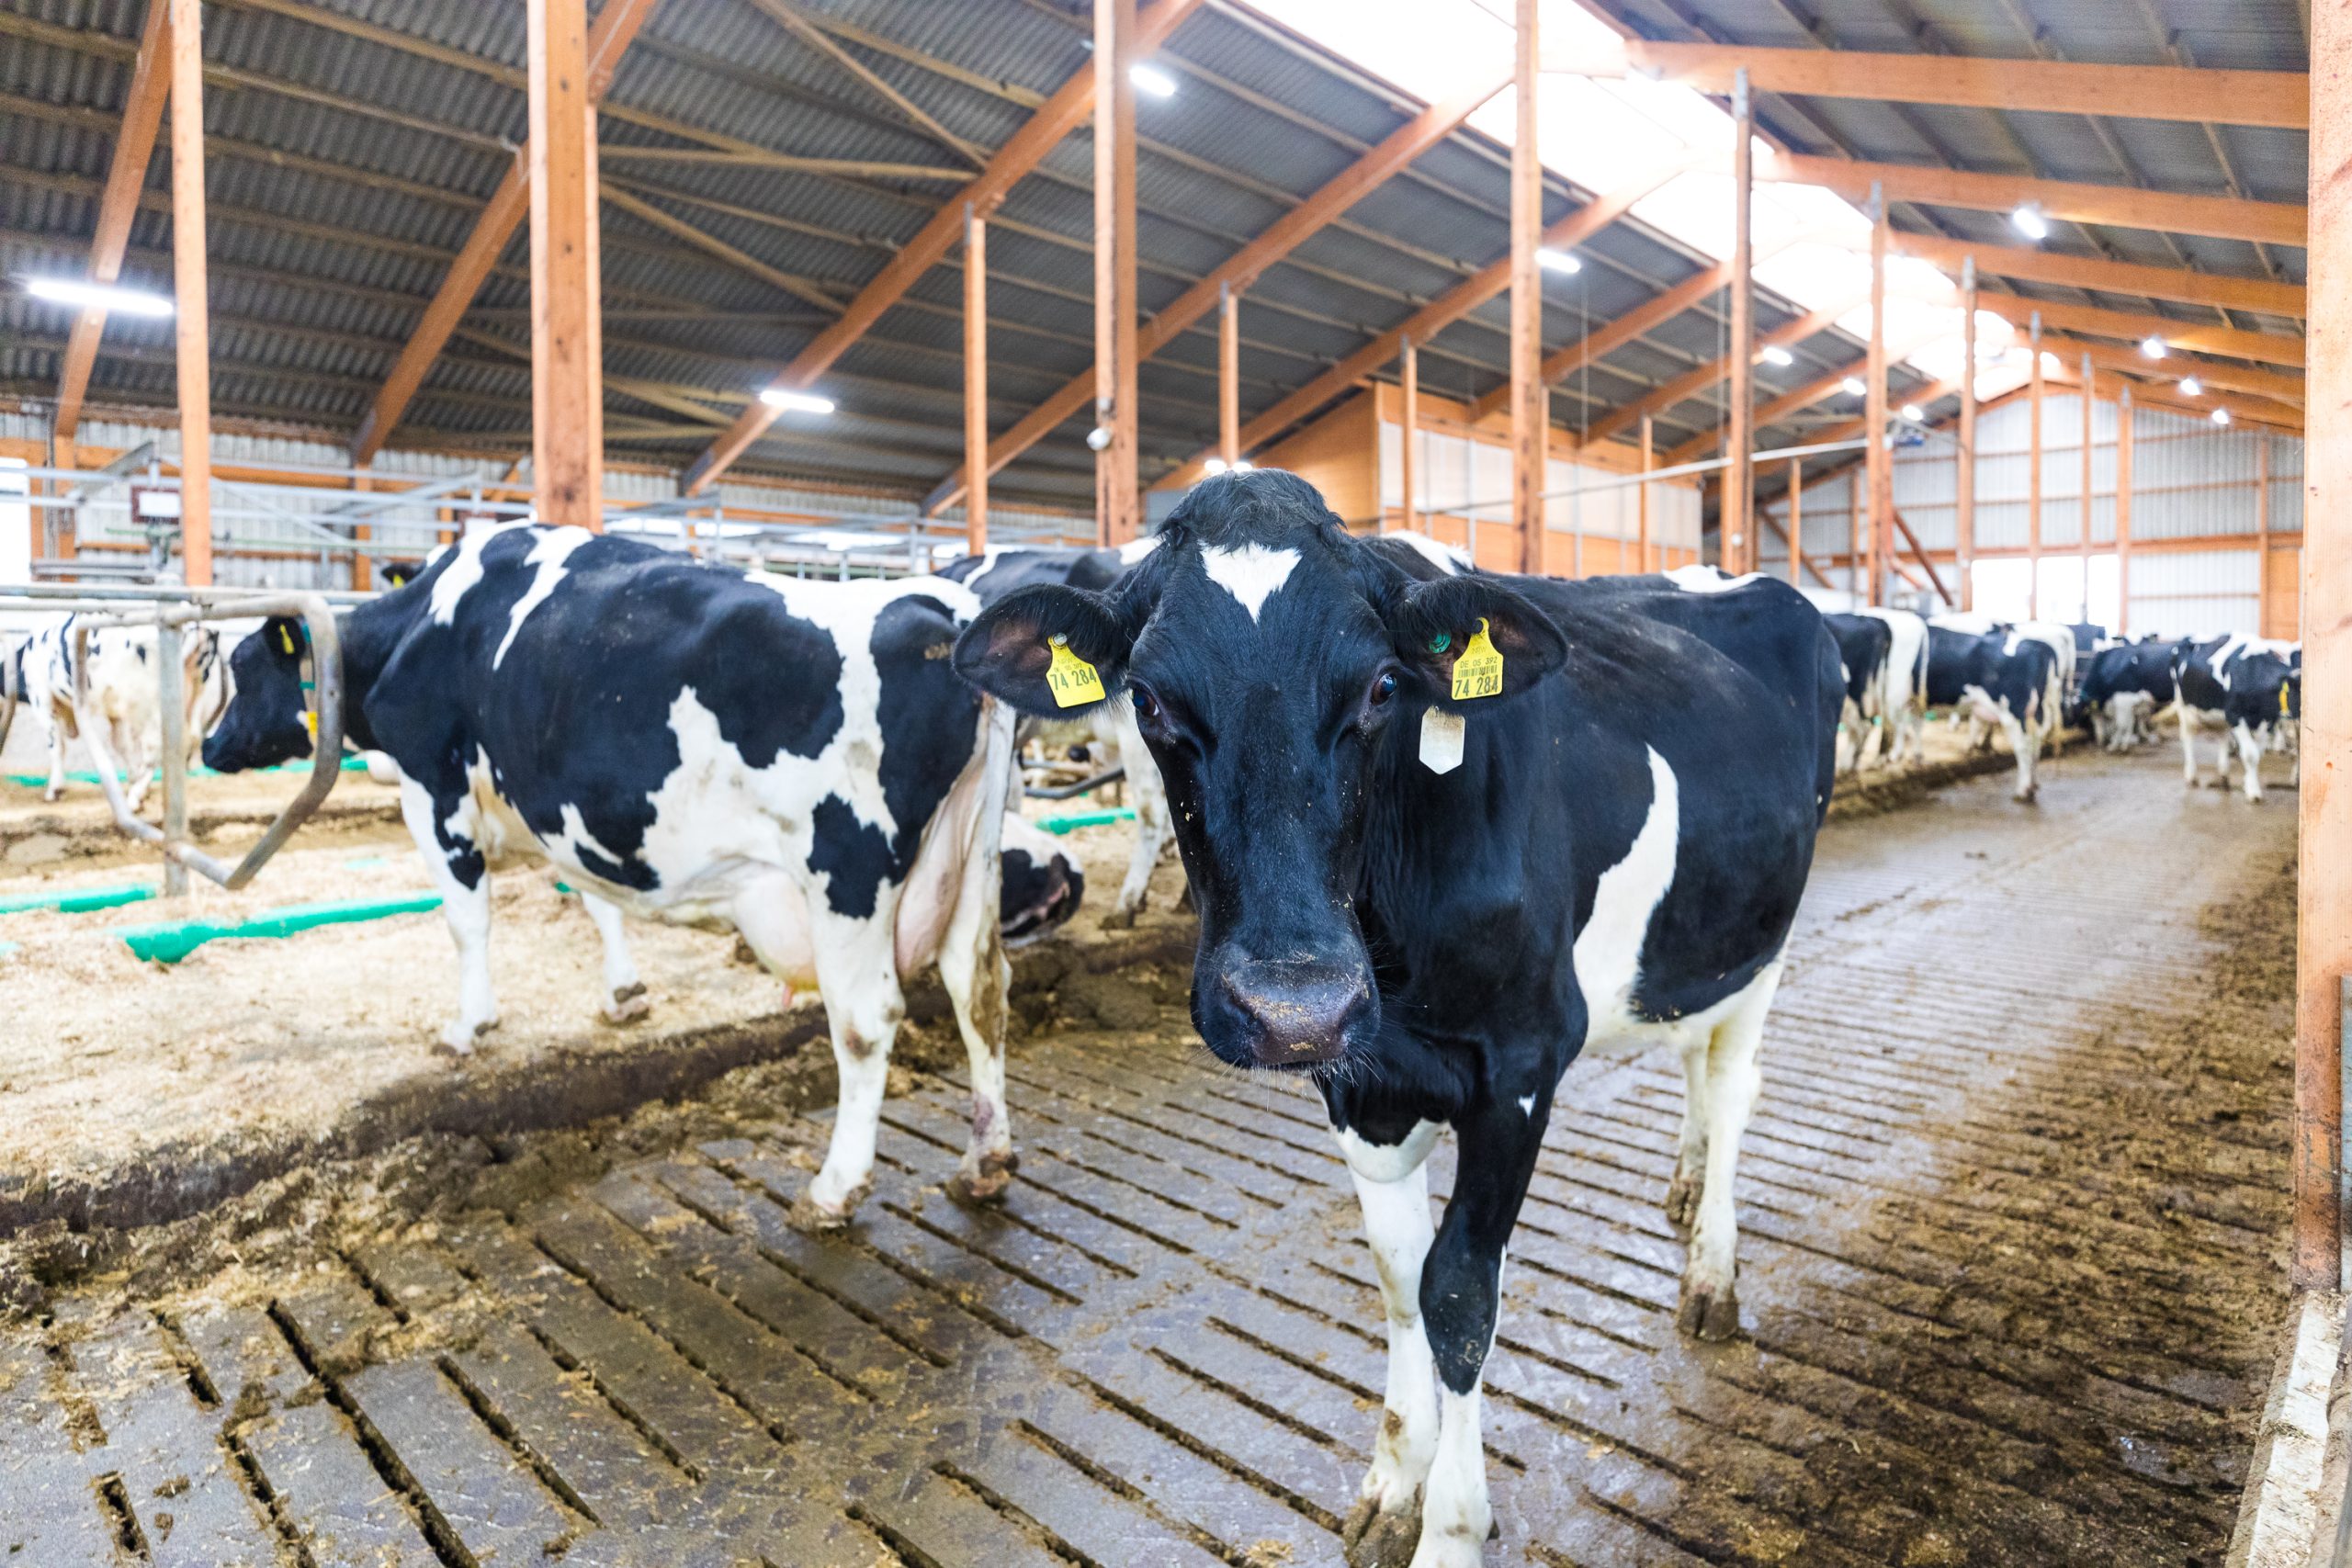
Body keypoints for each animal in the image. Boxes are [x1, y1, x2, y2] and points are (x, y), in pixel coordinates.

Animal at [2, 618, 224, 809]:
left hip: (145, 705)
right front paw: (133, 777)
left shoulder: (40, 697)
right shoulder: (115, 713)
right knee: (189, 738)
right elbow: (121, 745)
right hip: (194, 694)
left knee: (154, 746)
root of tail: (195, 628)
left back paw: (135, 797)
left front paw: (54, 790)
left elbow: (56, 744)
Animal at [202, 522, 1020, 1225]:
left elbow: (467, 920)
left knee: (866, 1019)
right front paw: (624, 992)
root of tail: (940, 604)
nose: (207, 747)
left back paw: (834, 1189)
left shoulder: (434, 790)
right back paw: (984, 1162)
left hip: (848, 869)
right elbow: (597, 901)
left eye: (241, 668)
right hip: (971, 854)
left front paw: (468, 1026)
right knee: (979, 986)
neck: (423, 627)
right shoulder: (563, 814)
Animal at [1924, 625, 2059, 801]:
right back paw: (2033, 784)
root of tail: (2039, 646)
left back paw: (2023, 790)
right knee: (2036, 743)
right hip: (2037, 710)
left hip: (2013, 709)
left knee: (2024, 746)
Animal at [2173, 634, 2300, 801]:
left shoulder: (2267, 720)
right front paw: (2253, 792)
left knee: (2222, 737)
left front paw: (2248, 783)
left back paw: (2224, 776)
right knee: (2187, 737)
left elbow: (2257, 754)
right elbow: (2250, 755)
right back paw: (2191, 775)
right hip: (2183, 706)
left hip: (2220, 715)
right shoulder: (2236, 715)